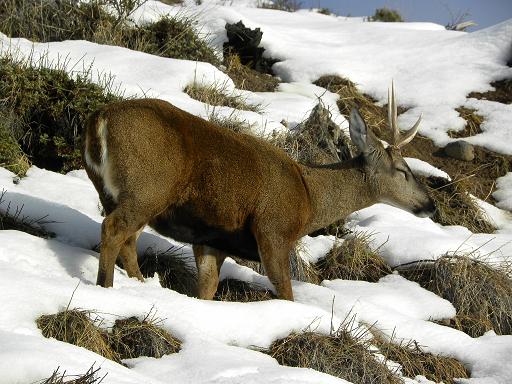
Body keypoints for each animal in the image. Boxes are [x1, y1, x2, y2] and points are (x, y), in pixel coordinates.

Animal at [83, 83, 432, 300]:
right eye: (403, 171)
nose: (430, 205)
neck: (308, 198)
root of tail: (99, 119)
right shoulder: (273, 230)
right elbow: (286, 292)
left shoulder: (212, 239)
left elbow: (207, 290)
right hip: (148, 187)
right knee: (114, 230)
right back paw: (105, 287)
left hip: (116, 192)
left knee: (127, 239)